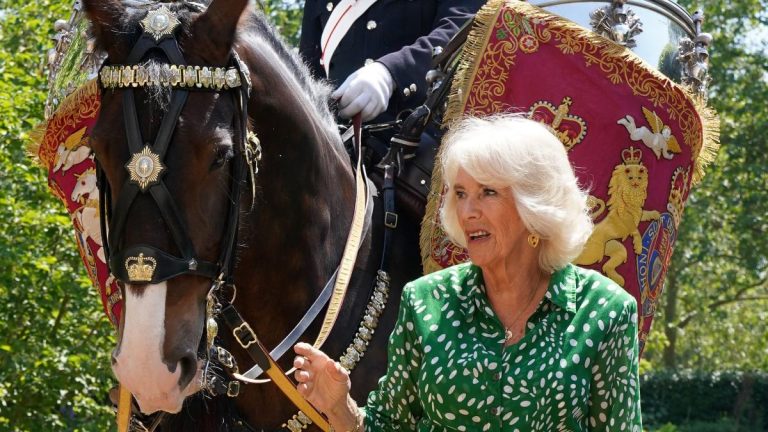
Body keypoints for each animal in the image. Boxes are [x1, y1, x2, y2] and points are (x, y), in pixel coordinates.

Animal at [576, 147, 660, 286]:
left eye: (640, 171)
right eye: (628, 172)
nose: (641, 171)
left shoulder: (638, 213)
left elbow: (645, 214)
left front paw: (656, 214)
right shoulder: (629, 224)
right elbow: (635, 232)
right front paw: (638, 247)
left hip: (611, 247)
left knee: (612, 261)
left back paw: (617, 280)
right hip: (592, 253)